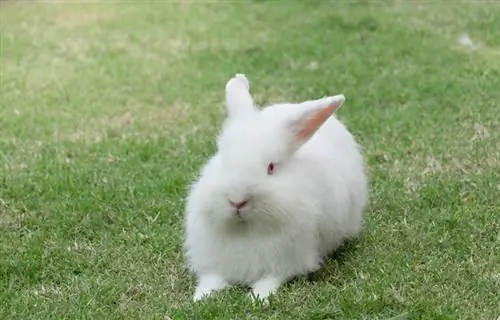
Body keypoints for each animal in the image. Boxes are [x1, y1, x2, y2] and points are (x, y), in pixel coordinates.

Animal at [183, 73, 368, 302]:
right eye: (223, 160)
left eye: (270, 168)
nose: (237, 201)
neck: (246, 230)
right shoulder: (215, 261)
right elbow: (212, 278)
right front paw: (200, 297)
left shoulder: (284, 262)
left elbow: (270, 280)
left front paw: (258, 299)